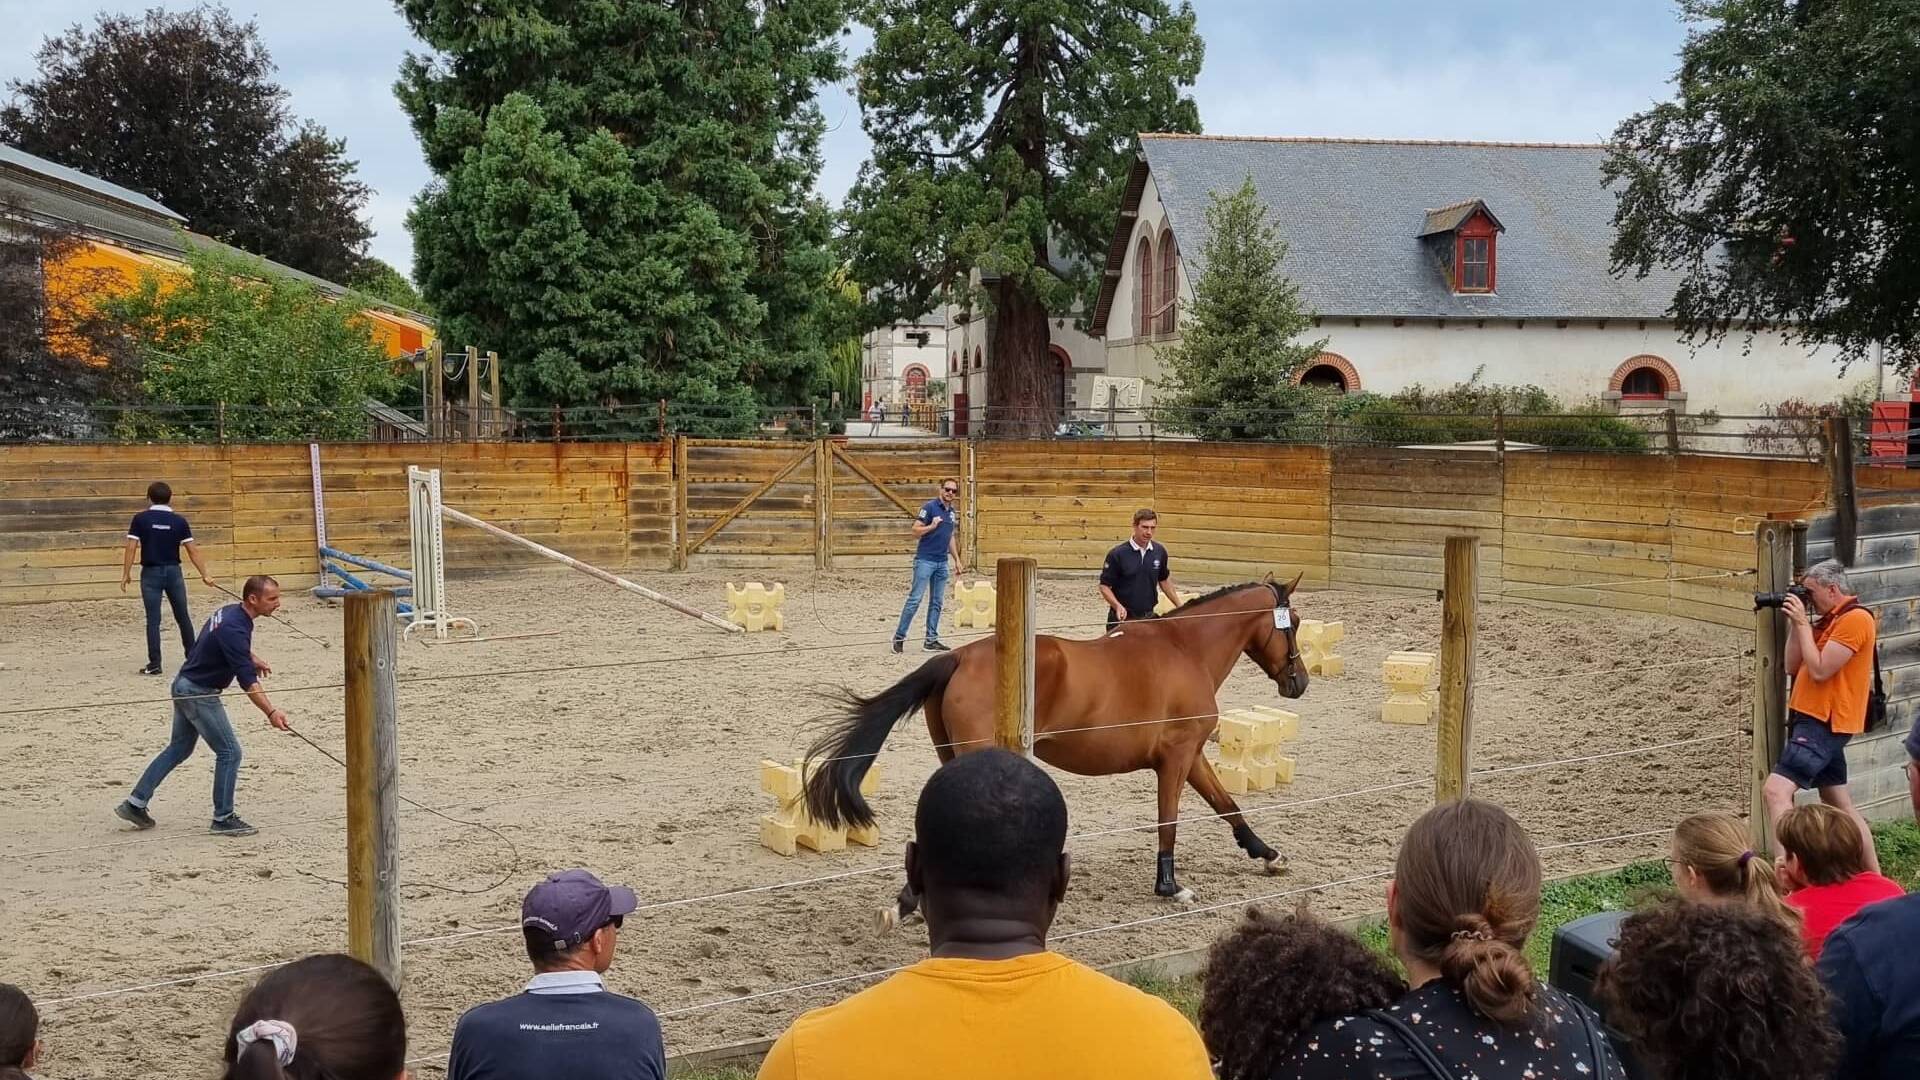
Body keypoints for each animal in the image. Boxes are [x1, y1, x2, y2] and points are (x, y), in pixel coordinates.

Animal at [802, 576, 1313, 922]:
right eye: (1294, 623)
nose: (1300, 682)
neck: (1185, 649)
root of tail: (959, 657)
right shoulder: (1176, 758)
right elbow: (1169, 821)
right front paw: (1170, 886)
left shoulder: (1193, 757)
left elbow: (1228, 806)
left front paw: (1268, 854)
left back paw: (912, 902)